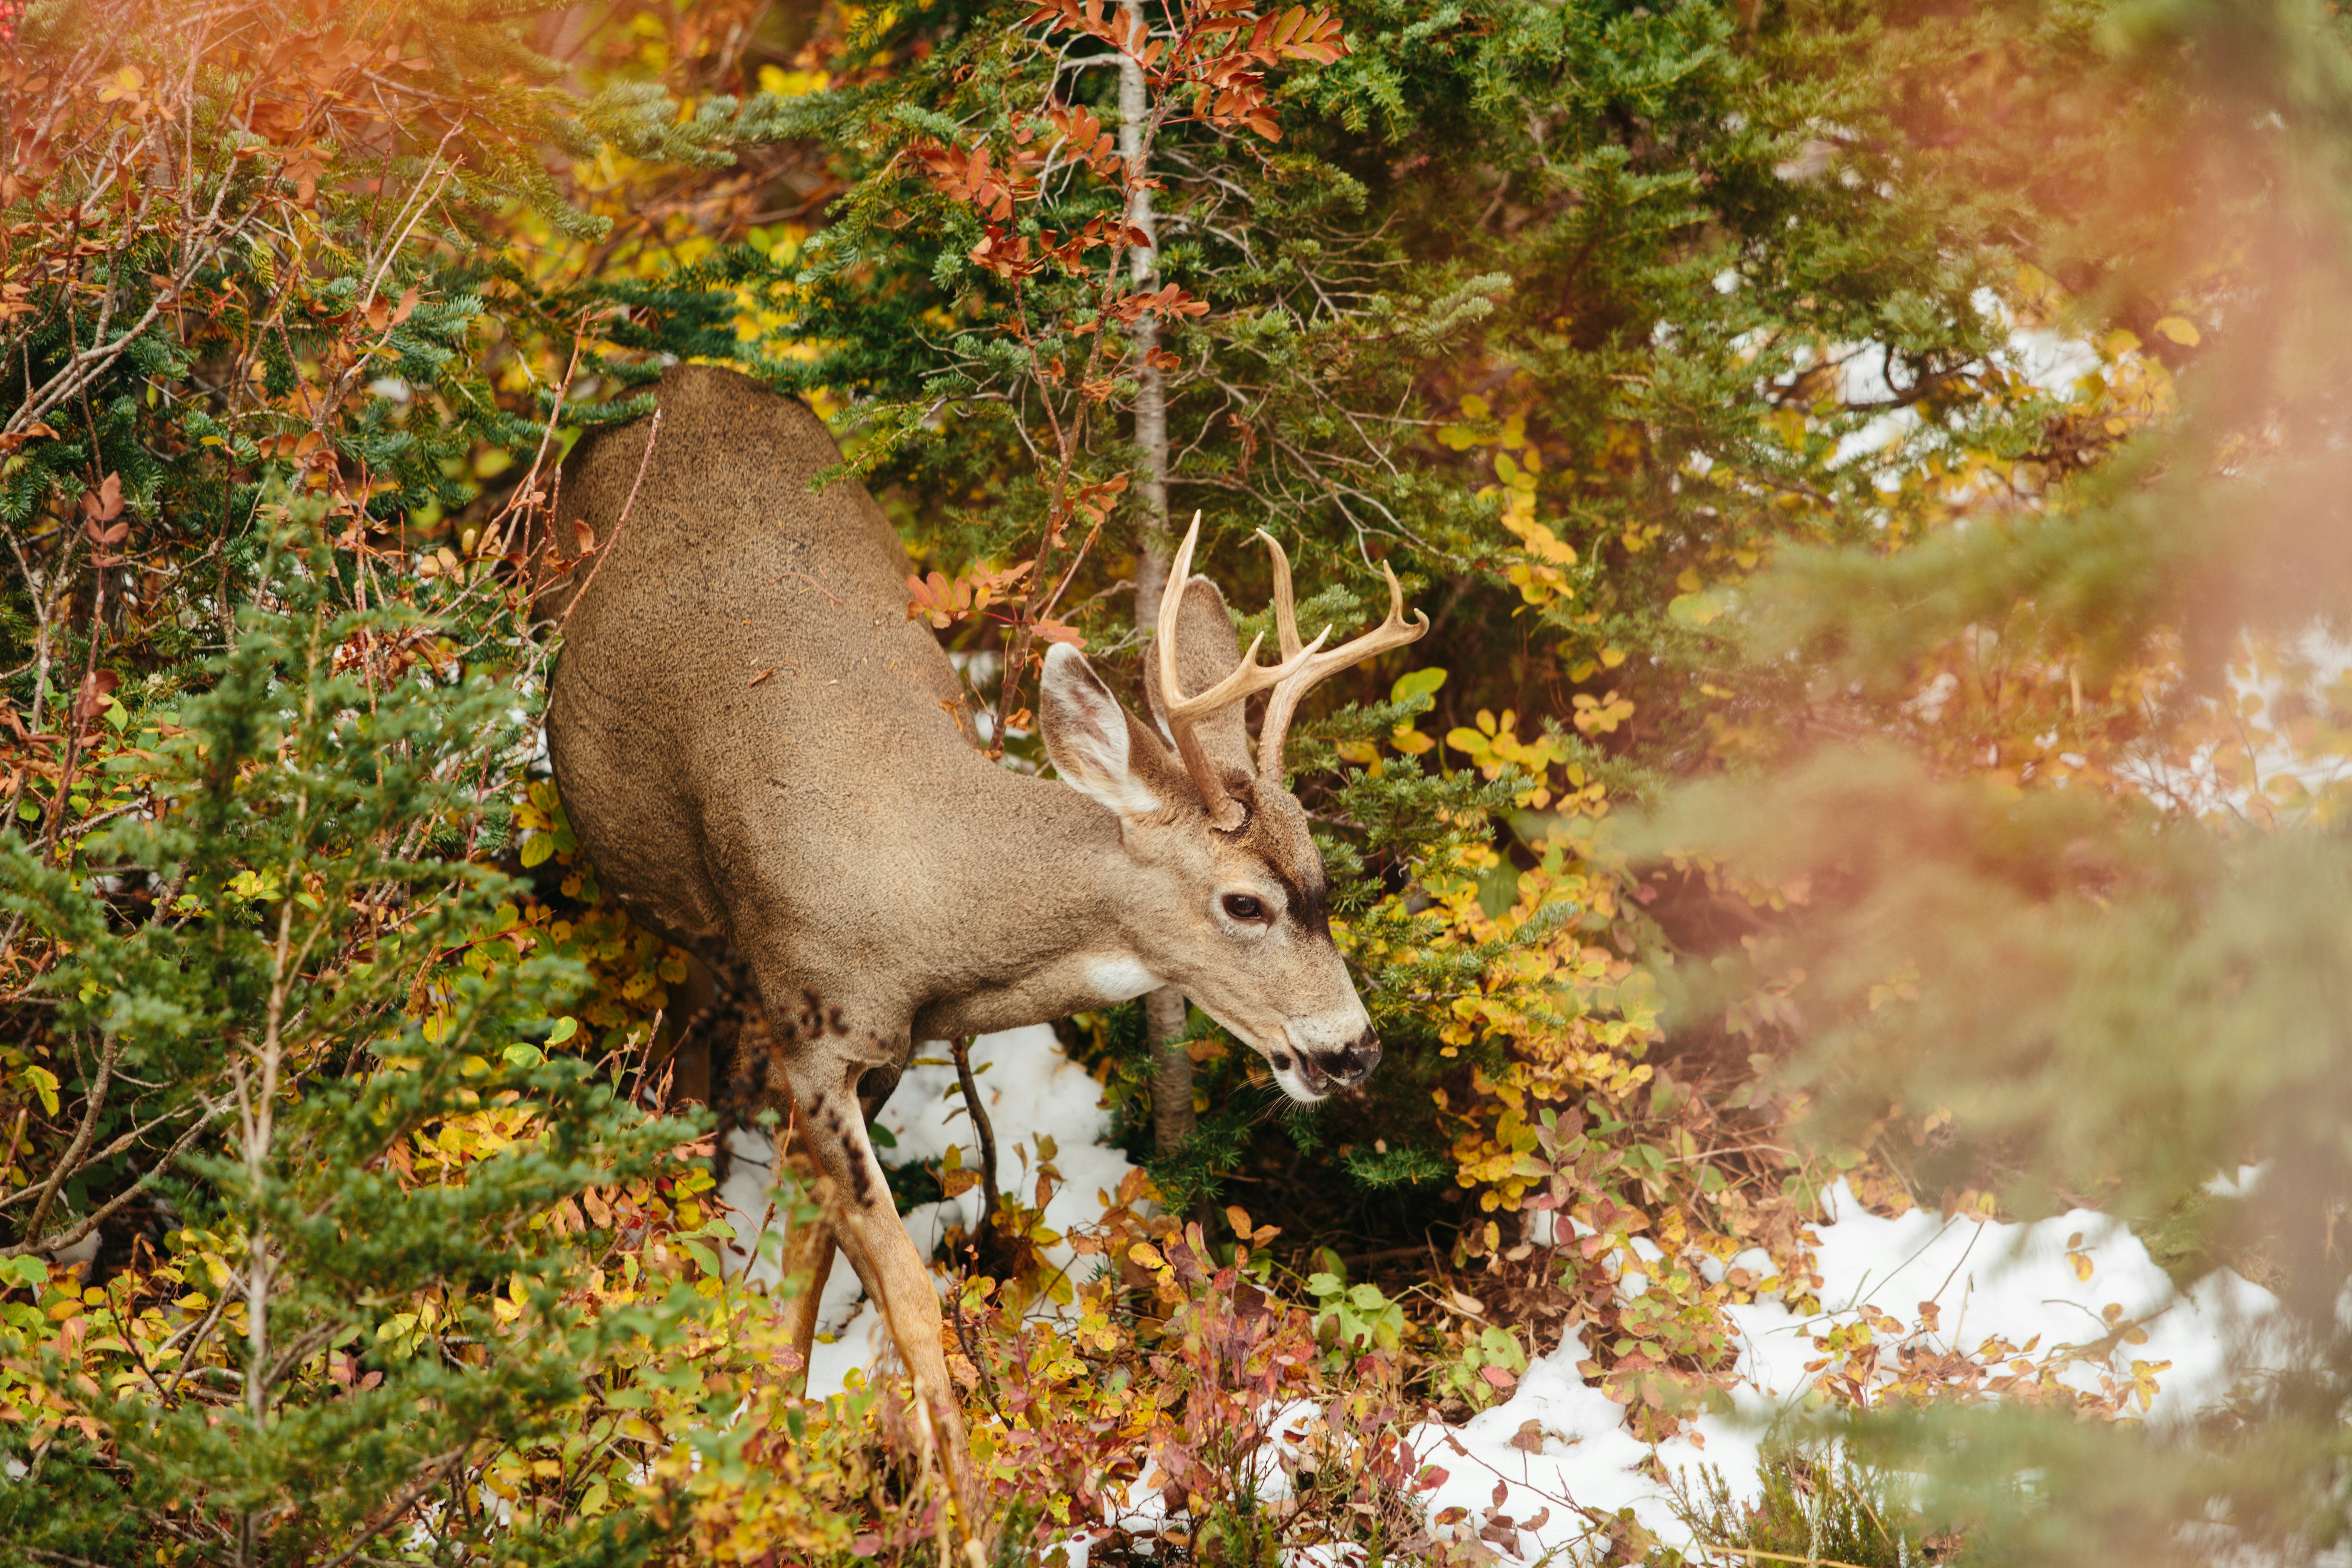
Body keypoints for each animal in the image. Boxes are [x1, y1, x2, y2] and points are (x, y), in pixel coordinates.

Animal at [542, 363, 1426, 1532]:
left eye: (1325, 879)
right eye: (1244, 903)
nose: (1353, 1048)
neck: (922, 900)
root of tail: (683, 378)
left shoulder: (875, 1054)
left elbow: (811, 1262)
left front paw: (775, 1455)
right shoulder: (811, 1026)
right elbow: (913, 1304)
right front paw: (964, 1518)